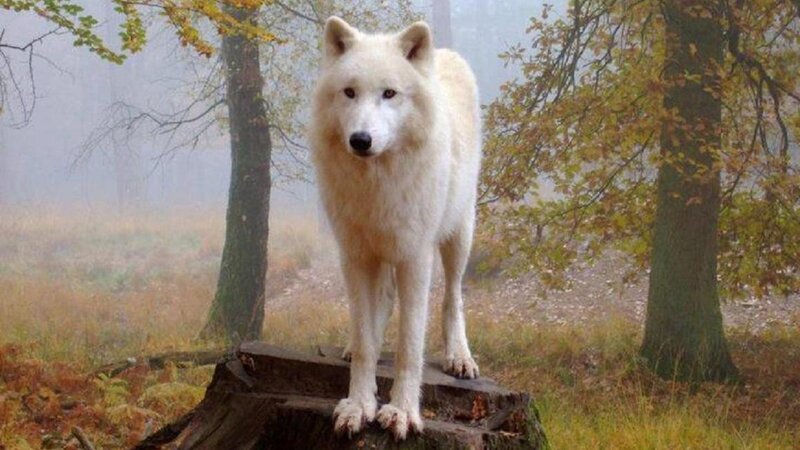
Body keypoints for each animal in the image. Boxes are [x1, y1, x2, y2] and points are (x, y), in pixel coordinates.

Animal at [309, 16, 482, 440]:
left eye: (389, 94)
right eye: (349, 92)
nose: (361, 140)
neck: (378, 185)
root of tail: (446, 54)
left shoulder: (415, 259)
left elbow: (410, 345)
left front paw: (402, 412)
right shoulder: (354, 256)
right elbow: (367, 344)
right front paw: (359, 405)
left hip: (458, 236)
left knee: (453, 297)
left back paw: (459, 357)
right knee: (381, 304)